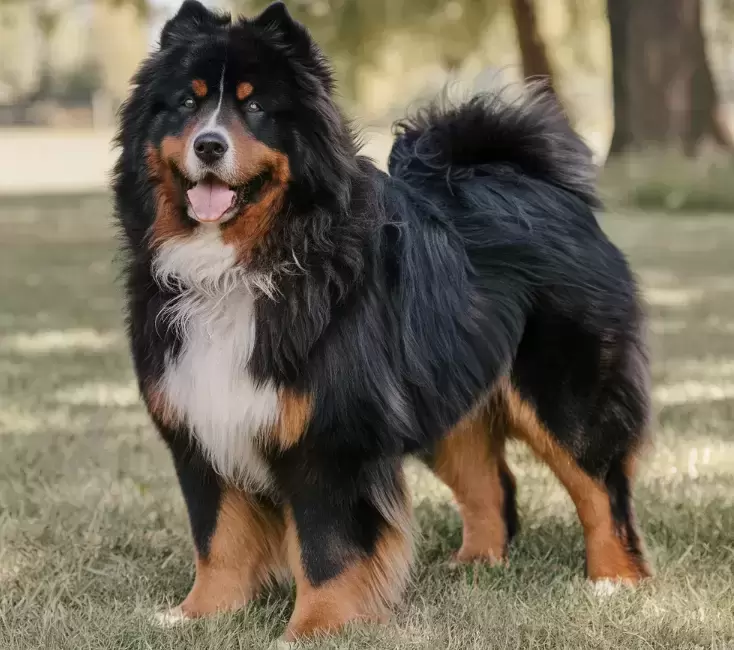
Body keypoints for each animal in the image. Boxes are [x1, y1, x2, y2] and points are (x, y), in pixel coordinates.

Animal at [113, 0, 656, 636]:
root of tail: (542, 184)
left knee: (601, 488)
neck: (246, 265)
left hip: (566, 396)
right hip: (445, 397)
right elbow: (217, 537)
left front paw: (315, 627)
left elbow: (327, 547)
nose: (209, 146)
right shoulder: (201, 422)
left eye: (254, 107)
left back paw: (615, 580)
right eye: (187, 103)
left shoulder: (332, 435)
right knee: (490, 485)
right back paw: (476, 566)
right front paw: (199, 615)